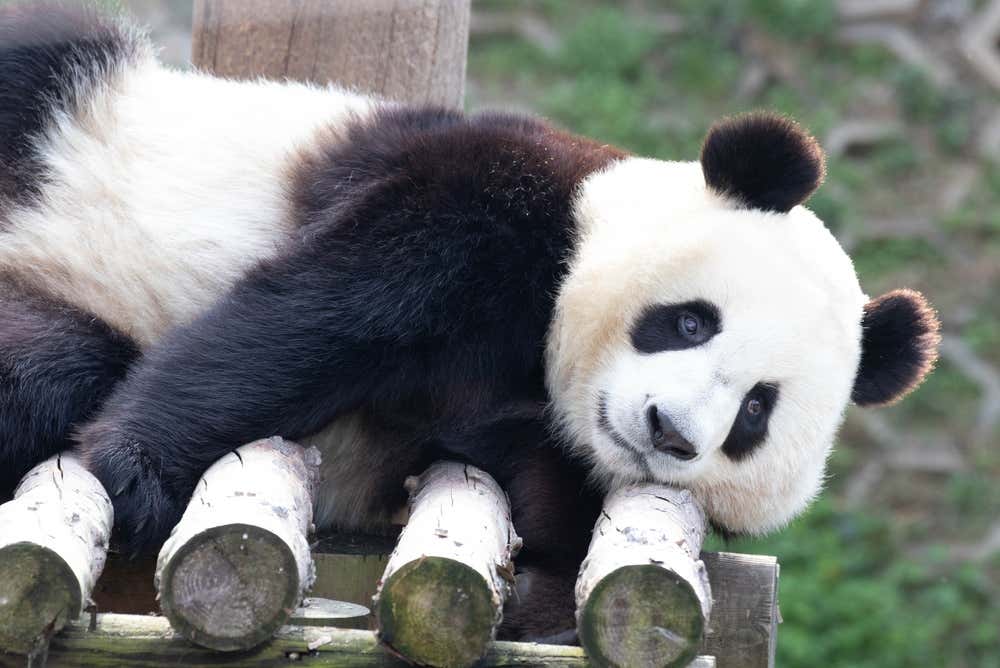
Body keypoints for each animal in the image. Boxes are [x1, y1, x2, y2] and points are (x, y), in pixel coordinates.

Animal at [0, 4, 939, 639]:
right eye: (688, 323)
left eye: (754, 412)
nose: (668, 430)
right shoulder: (491, 196)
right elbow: (325, 313)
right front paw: (134, 472)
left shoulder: (506, 433)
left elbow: (539, 501)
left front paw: (539, 596)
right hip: (79, 105)